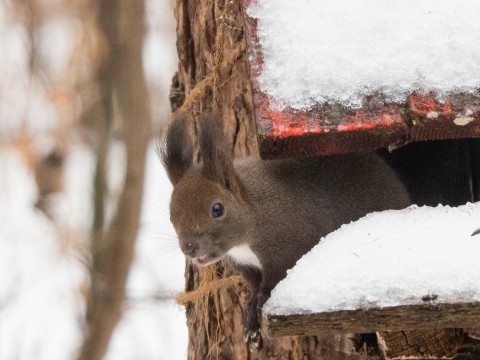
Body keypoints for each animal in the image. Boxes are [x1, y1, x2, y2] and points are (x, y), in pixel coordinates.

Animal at [162, 111, 412, 348]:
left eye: (217, 209)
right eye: (171, 214)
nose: (189, 247)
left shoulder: (285, 249)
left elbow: (272, 282)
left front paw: (259, 305)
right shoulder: (244, 265)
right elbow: (254, 286)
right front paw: (251, 321)